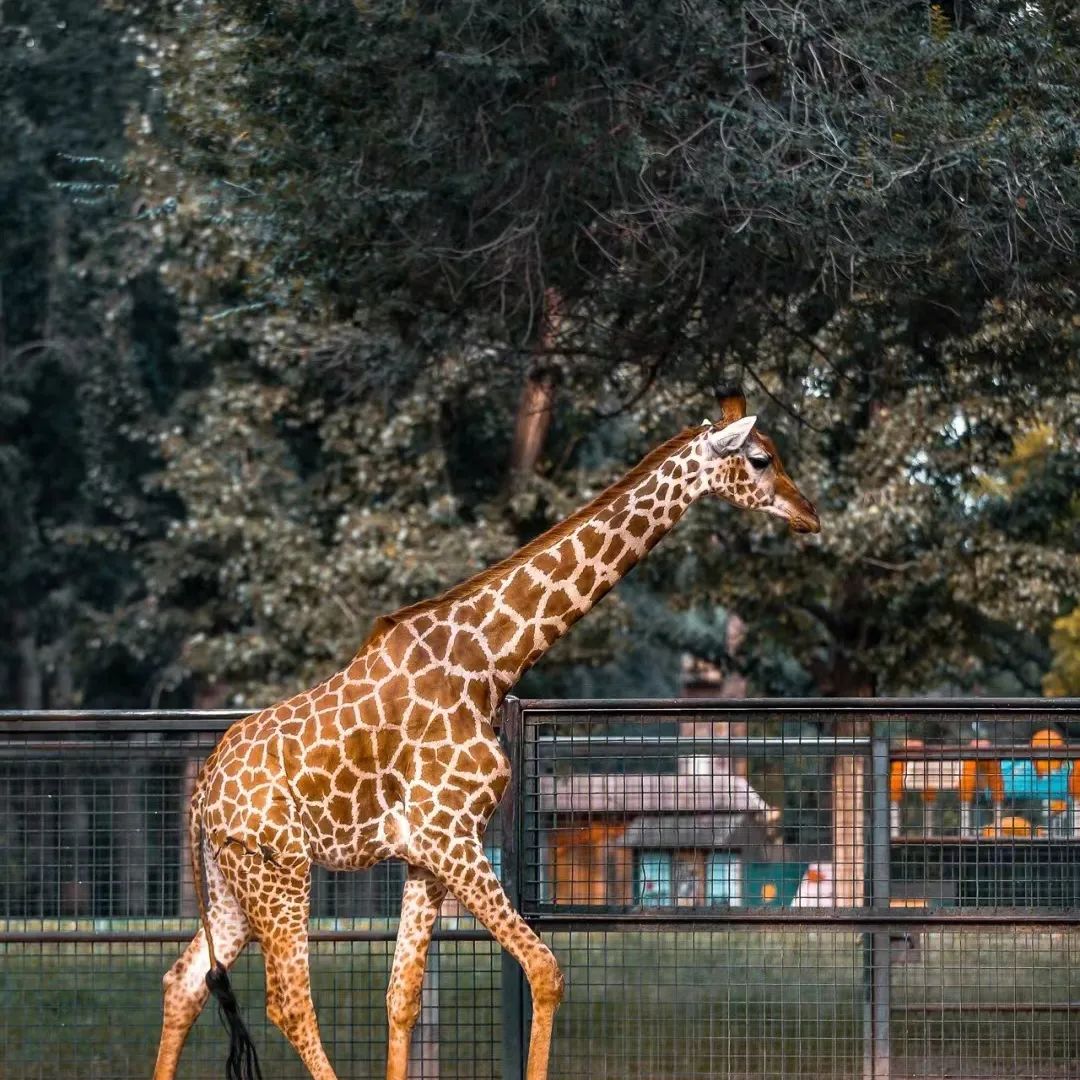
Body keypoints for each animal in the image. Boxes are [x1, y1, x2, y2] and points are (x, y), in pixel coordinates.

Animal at [152, 395, 816, 1080]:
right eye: (761, 458)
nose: (809, 515)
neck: (489, 662)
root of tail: (202, 792)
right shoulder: (451, 835)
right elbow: (545, 969)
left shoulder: (426, 855)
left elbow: (402, 996)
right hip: (280, 870)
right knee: (287, 1002)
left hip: (231, 881)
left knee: (185, 981)